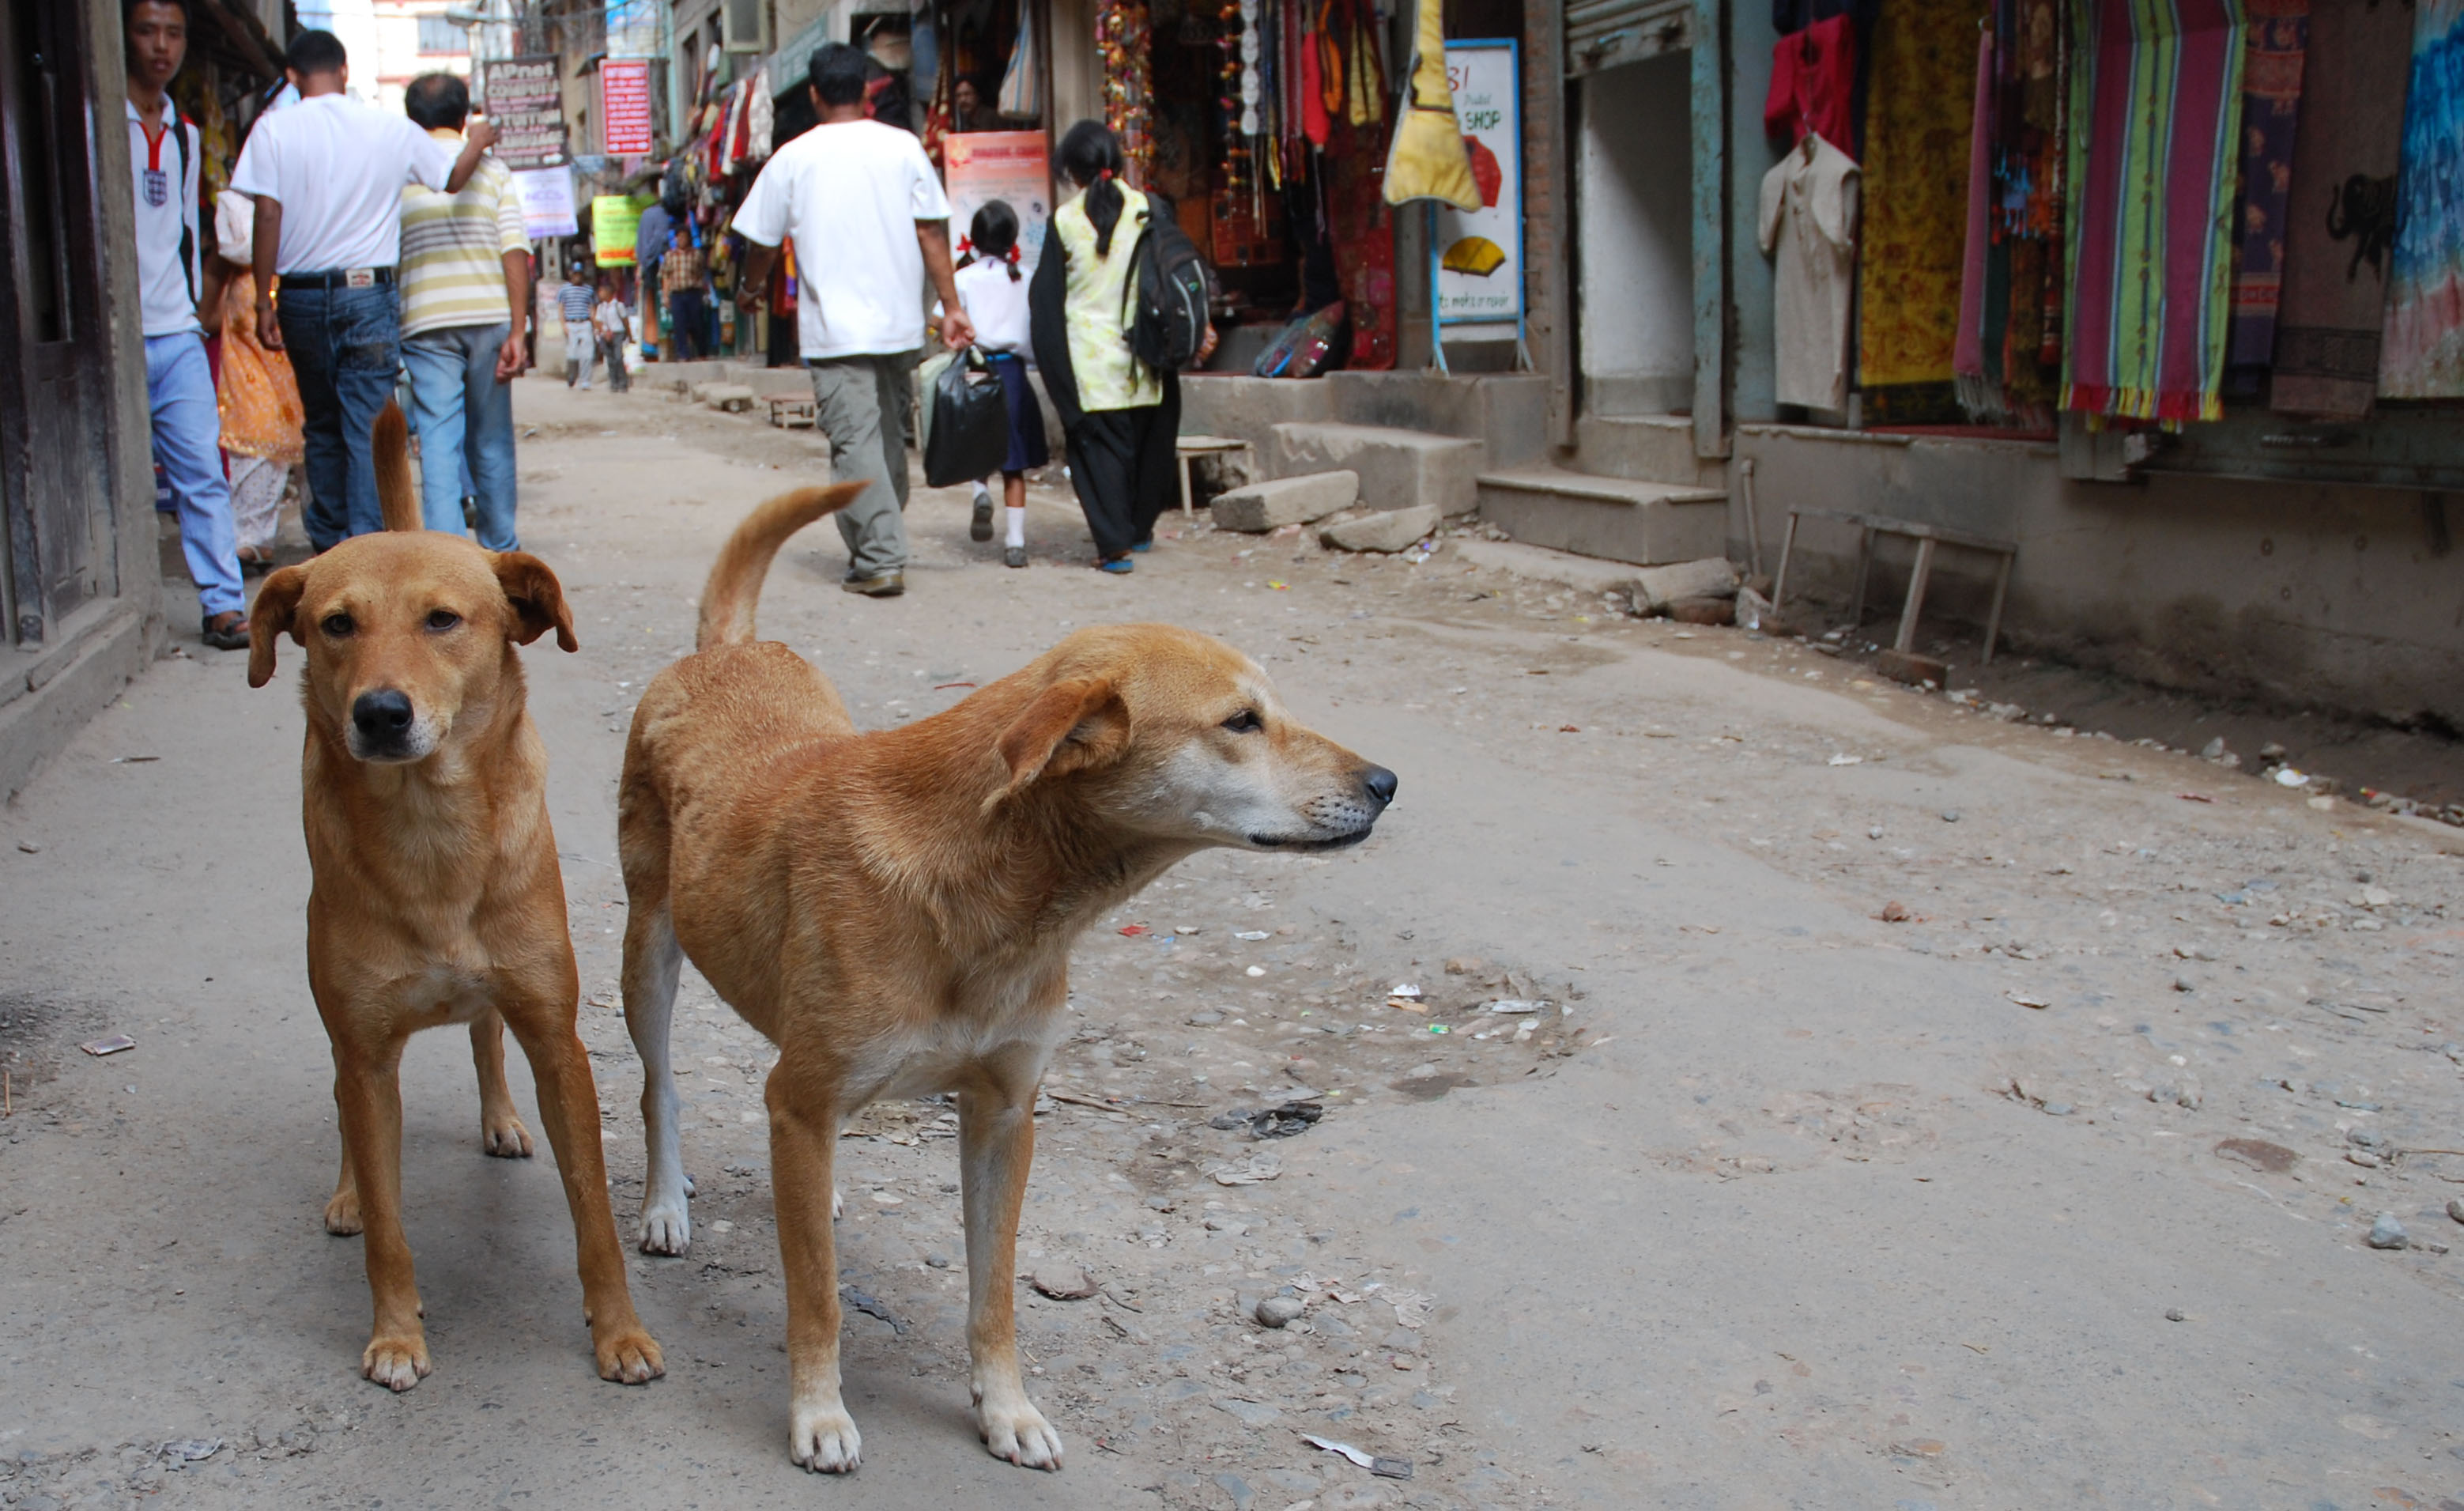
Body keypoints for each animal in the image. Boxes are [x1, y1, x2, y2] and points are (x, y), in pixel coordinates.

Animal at [246, 402, 665, 1390]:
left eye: (443, 619)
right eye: (335, 625)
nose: (379, 713)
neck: (431, 833)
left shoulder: (557, 1038)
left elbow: (593, 1214)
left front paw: (619, 1333)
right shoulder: (366, 1051)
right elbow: (389, 1225)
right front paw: (397, 1334)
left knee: (482, 1032)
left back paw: (501, 1119)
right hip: (342, 1022)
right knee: (347, 1105)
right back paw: (348, 1191)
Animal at [613, 485, 1399, 1469]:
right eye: (1241, 722)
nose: (1387, 783)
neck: (996, 899)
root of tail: (725, 650)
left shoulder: (1004, 1113)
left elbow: (994, 1292)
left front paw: (1007, 1409)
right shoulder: (808, 1091)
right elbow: (818, 1296)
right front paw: (819, 1413)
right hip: (648, 954)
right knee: (660, 1087)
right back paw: (664, 1204)